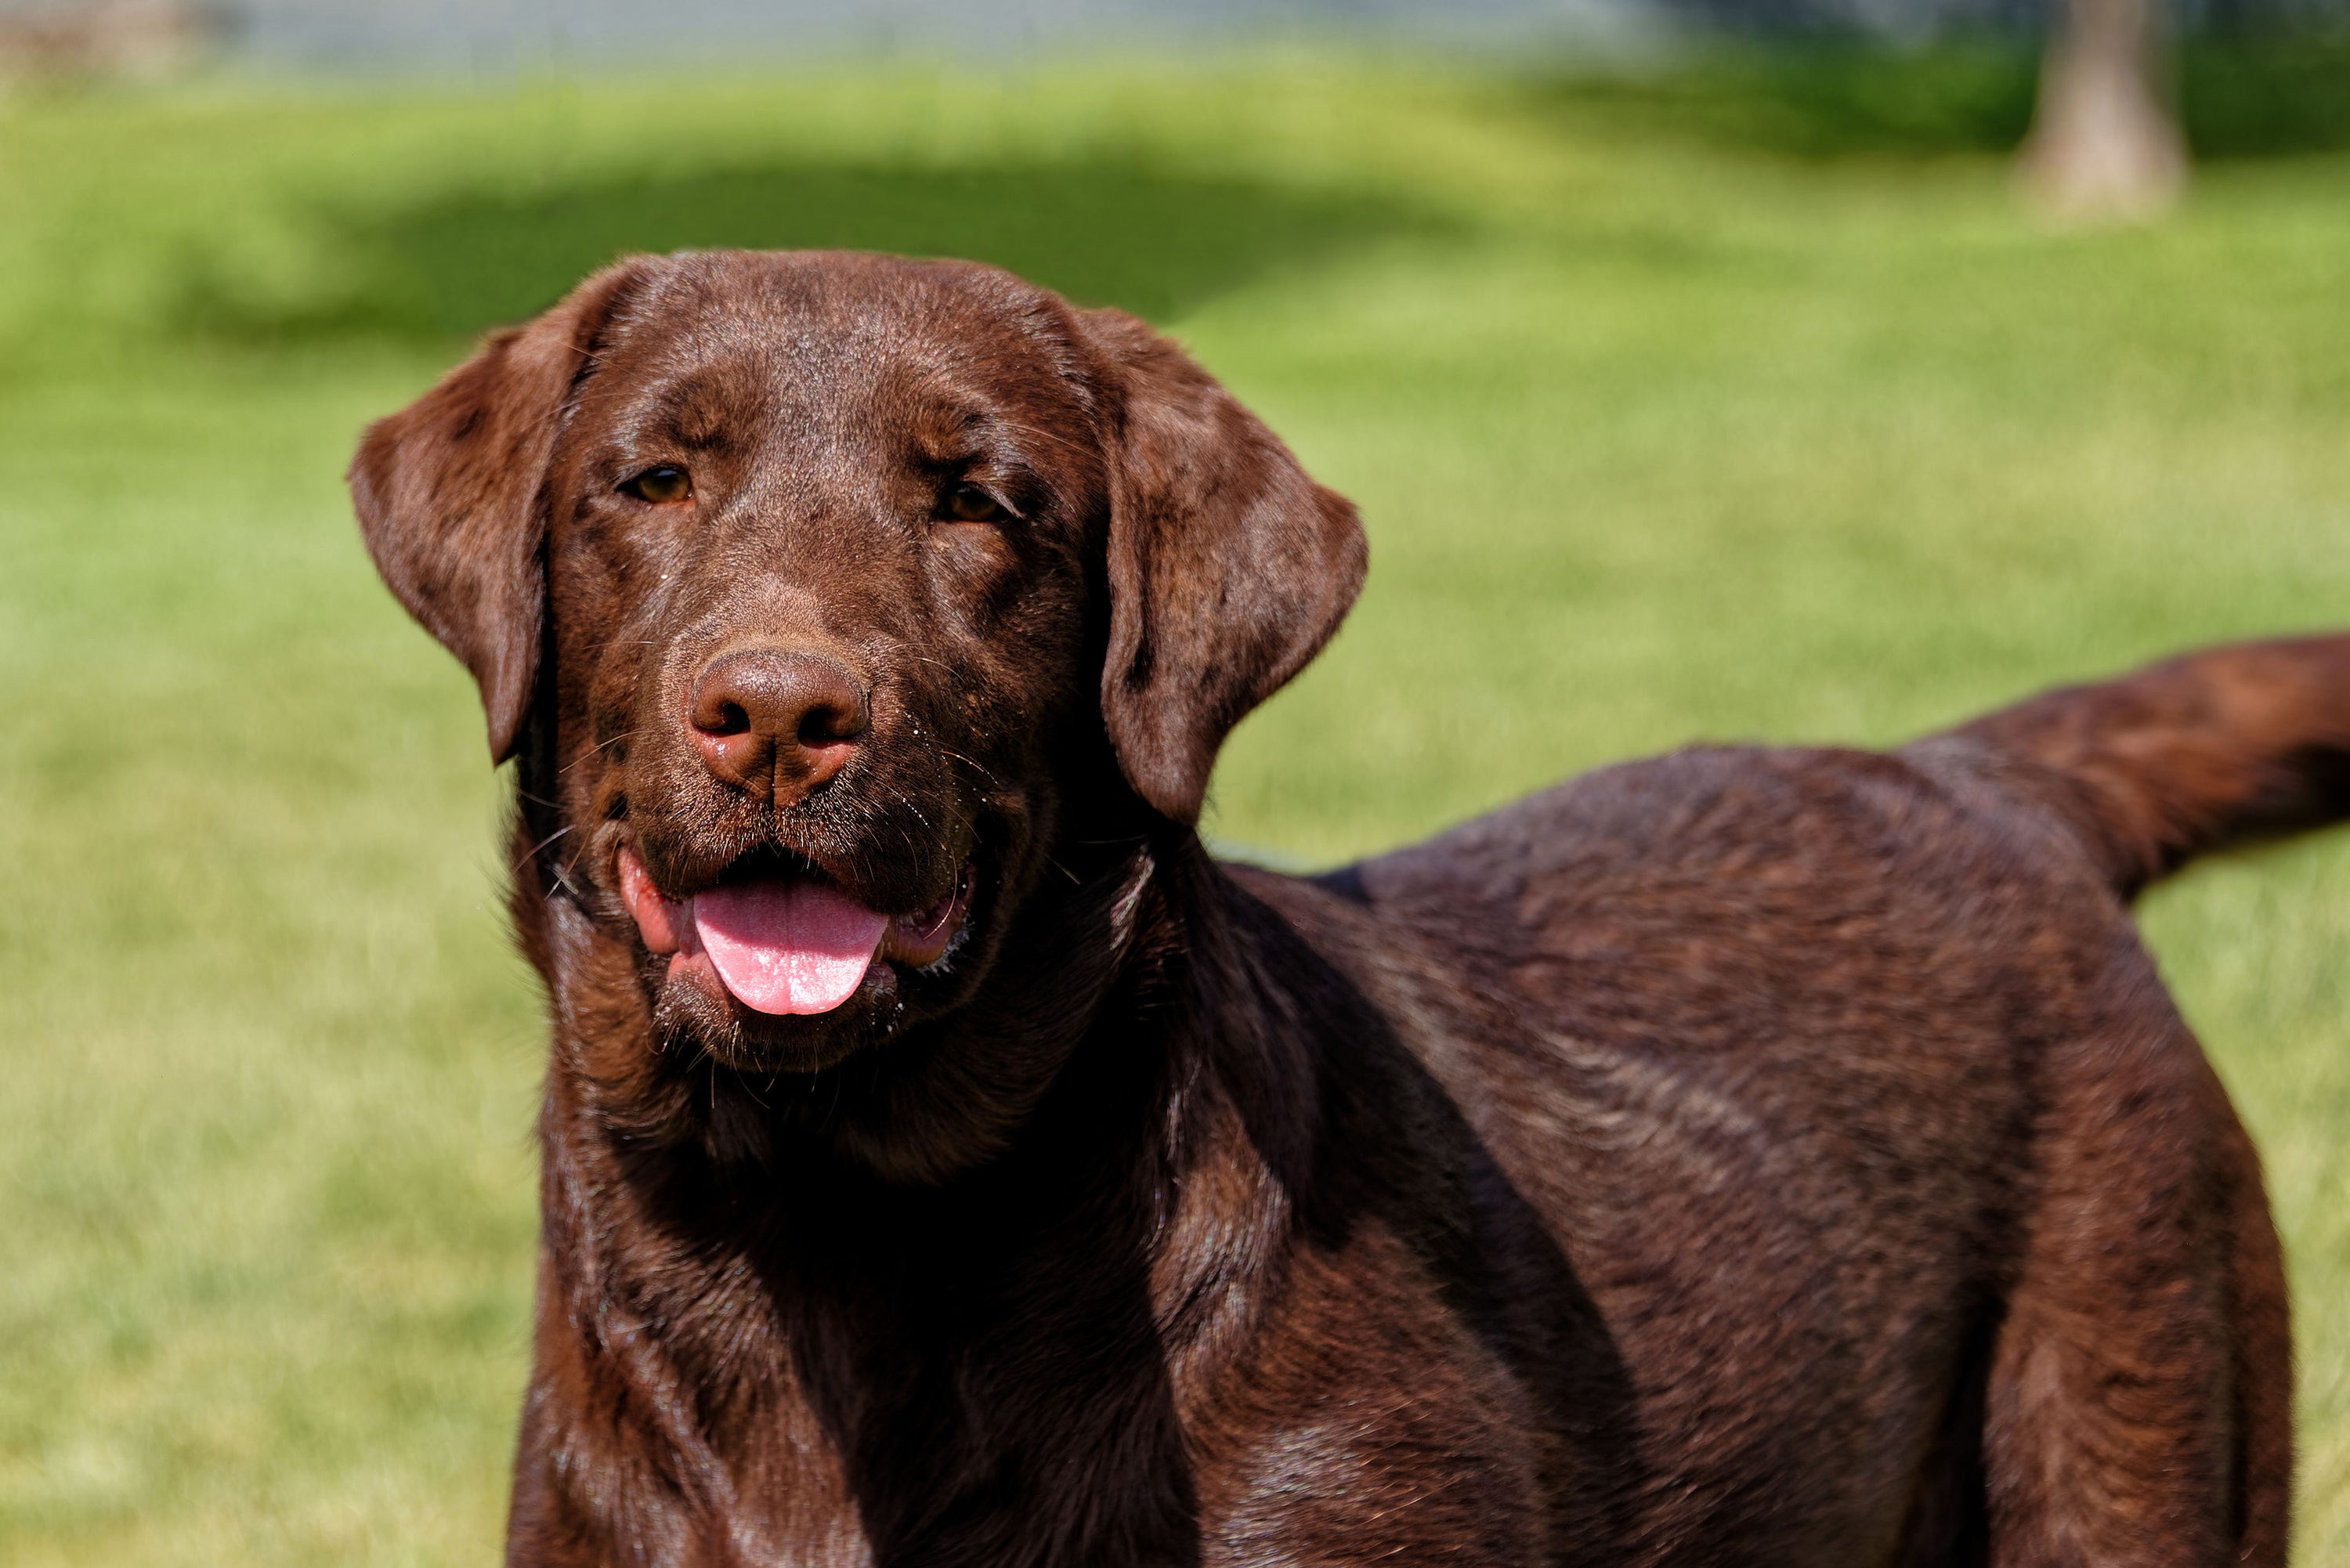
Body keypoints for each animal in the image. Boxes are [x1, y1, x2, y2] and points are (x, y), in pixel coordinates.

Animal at [348, 251, 2350, 1560]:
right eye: (652, 480)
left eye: (984, 505)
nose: (777, 712)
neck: (831, 1229)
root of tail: (1974, 778)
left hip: (2137, 1420)